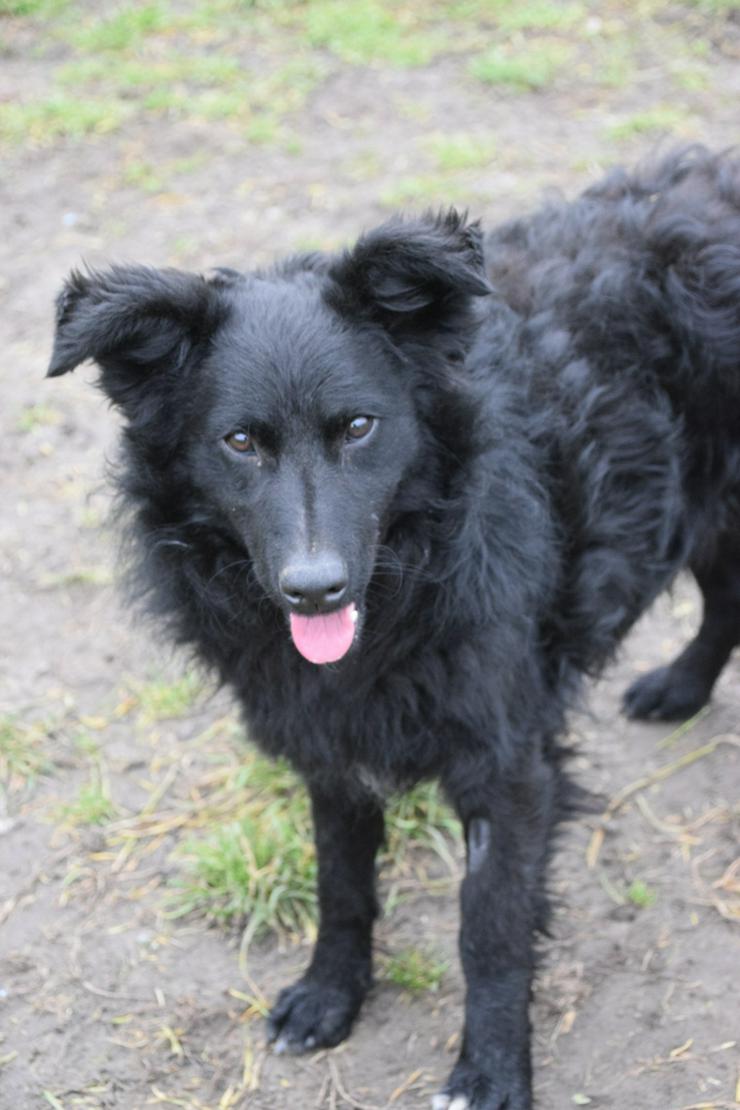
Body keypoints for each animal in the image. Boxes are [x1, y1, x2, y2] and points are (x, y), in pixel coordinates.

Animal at [47, 149, 740, 1110]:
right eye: (239, 442)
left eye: (359, 426)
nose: (313, 590)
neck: (411, 577)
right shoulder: (328, 744)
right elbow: (340, 883)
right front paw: (329, 996)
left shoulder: (508, 760)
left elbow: (490, 926)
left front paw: (490, 1070)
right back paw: (680, 687)